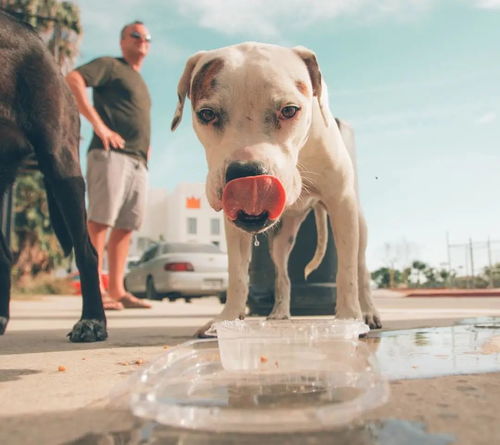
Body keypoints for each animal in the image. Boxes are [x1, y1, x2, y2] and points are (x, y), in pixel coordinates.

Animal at [170, 42, 380, 332]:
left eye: (290, 110)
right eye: (207, 114)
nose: (246, 174)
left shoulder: (341, 203)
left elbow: (346, 272)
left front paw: (349, 318)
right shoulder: (234, 227)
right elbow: (237, 274)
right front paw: (227, 320)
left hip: (357, 223)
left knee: (360, 268)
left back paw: (368, 311)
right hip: (281, 240)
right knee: (283, 275)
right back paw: (280, 311)